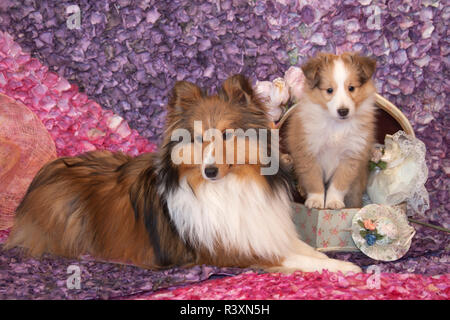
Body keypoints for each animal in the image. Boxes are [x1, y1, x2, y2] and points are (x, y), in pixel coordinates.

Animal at [5, 74, 360, 272]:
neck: (230, 186)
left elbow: (306, 249)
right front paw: (343, 268)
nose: (211, 170)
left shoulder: (265, 232)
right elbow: (298, 260)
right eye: (200, 138)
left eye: (227, 136)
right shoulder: (232, 251)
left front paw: (338, 261)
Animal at [286, 52, 378, 210]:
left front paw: (333, 202)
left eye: (351, 88)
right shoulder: (309, 153)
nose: (343, 111)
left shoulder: (350, 156)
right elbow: (313, 180)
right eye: (329, 90)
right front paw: (316, 201)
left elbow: (339, 184)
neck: (336, 126)